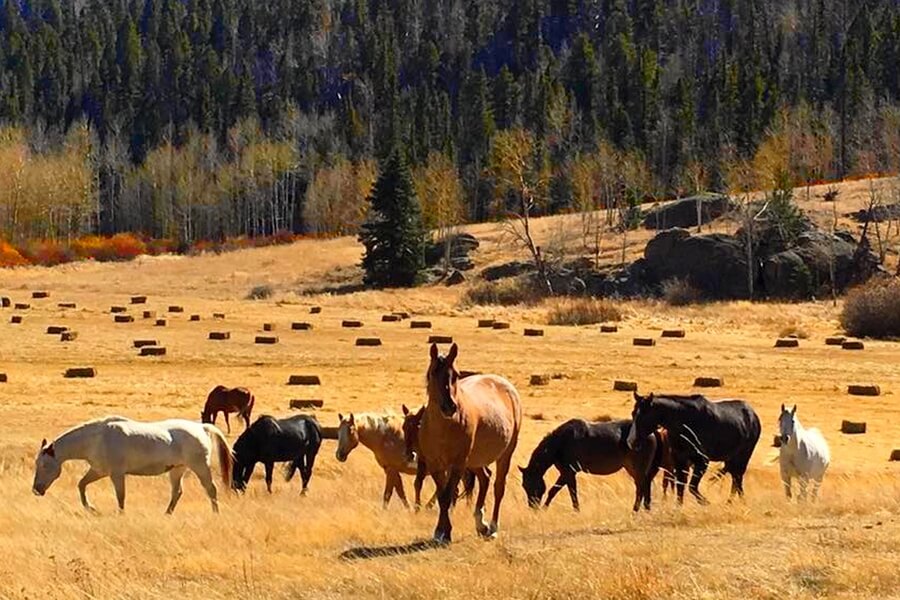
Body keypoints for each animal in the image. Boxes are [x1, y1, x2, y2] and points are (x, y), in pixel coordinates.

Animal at [33, 418, 234, 516]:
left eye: (44, 465)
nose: (36, 490)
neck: (96, 439)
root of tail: (202, 428)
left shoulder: (116, 474)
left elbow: (120, 496)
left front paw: (120, 514)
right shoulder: (98, 471)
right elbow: (81, 485)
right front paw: (91, 508)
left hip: (200, 467)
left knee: (211, 490)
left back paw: (215, 513)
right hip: (177, 469)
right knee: (177, 492)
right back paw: (167, 514)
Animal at [420, 342, 524, 544]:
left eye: (456, 374)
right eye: (433, 373)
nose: (449, 406)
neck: (444, 426)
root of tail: (507, 386)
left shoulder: (457, 464)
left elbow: (447, 496)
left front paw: (445, 532)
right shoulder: (435, 464)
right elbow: (443, 496)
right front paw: (440, 532)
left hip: (504, 454)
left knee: (498, 487)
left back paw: (492, 527)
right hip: (474, 460)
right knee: (485, 478)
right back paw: (480, 524)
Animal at [516, 420, 664, 512]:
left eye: (531, 484)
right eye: (524, 485)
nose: (532, 507)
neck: (560, 443)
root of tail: (652, 432)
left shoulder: (569, 472)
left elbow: (565, 491)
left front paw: (574, 510)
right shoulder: (566, 473)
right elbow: (560, 491)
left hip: (637, 468)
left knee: (641, 488)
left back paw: (635, 510)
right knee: (645, 486)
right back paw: (646, 509)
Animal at [624, 392, 760, 504]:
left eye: (644, 416)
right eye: (633, 413)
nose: (631, 441)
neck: (685, 421)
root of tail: (753, 414)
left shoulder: (702, 461)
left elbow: (692, 487)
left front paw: (705, 502)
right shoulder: (679, 461)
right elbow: (680, 487)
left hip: (744, 455)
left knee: (738, 478)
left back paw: (736, 502)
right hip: (731, 458)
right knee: (735, 477)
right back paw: (730, 502)